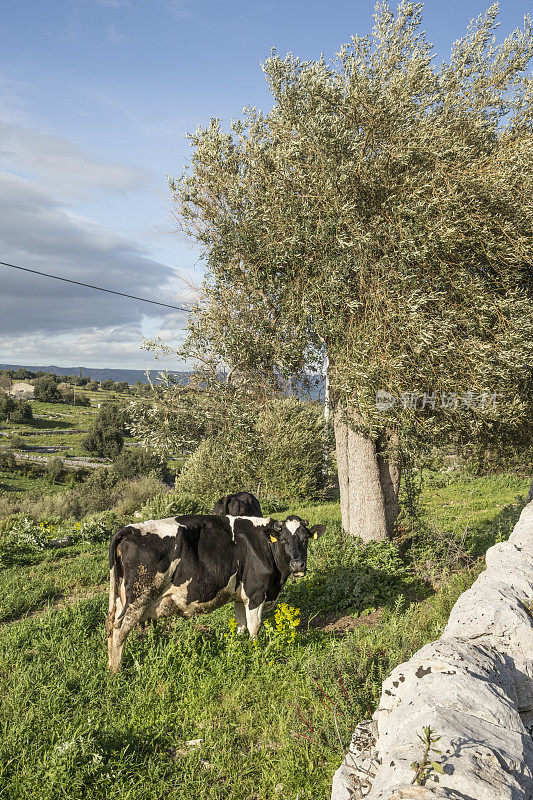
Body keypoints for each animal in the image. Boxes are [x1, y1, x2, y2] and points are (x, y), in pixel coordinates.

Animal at [105, 512, 324, 668]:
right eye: (284, 540)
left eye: (305, 539)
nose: (298, 565)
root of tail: (128, 530)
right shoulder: (255, 593)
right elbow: (254, 627)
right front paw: (256, 652)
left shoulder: (240, 596)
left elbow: (241, 625)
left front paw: (240, 646)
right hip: (138, 598)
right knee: (119, 632)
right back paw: (117, 671)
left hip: (120, 598)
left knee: (110, 626)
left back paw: (109, 666)